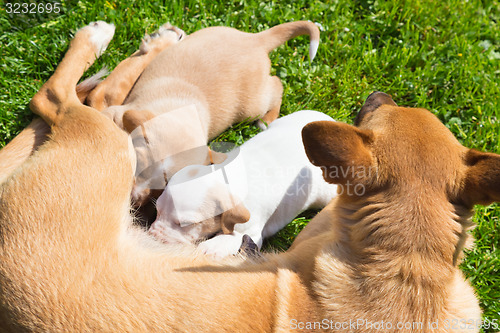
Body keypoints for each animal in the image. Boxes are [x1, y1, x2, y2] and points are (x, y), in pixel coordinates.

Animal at [147, 110, 336, 258]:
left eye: (185, 224)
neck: (226, 178)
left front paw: (209, 248)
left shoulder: (252, 232)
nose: (153, 237)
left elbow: (233, 239)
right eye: (157, 211)